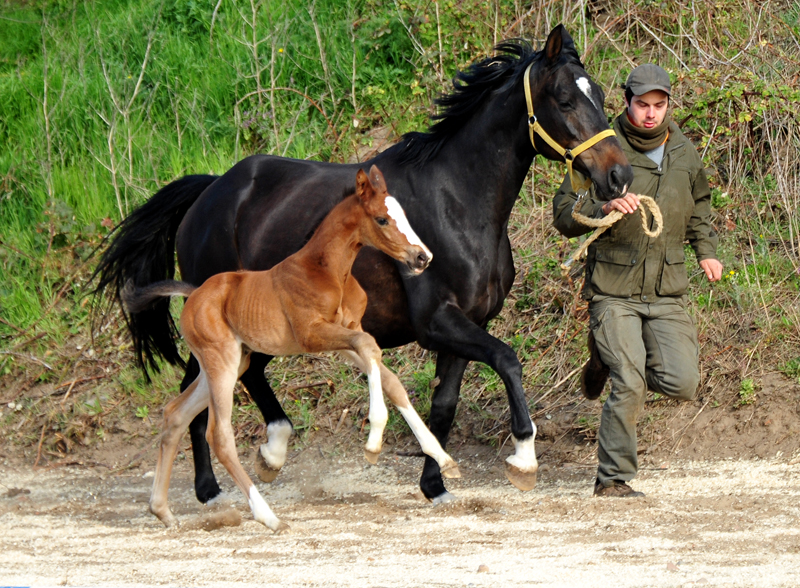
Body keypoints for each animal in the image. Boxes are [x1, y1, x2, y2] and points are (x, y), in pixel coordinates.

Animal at [126, 167, 462, 532]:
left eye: (404, 215)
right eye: (382, 219)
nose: (422, 257)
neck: (327, 270)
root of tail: (194, 294)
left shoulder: (347, 333)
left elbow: (388, 376)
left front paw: (443, 459)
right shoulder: (312, 335)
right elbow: (371, 349)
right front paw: (374, 442)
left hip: (232, 363)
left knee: (175, 413)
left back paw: (162, 510)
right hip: (221, 363)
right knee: (219, 435)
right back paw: (267, 516)